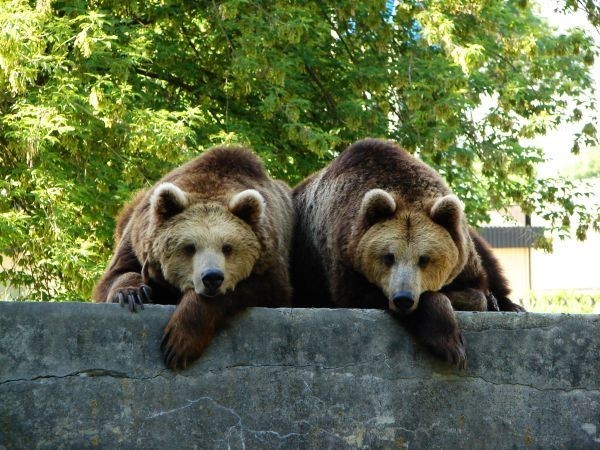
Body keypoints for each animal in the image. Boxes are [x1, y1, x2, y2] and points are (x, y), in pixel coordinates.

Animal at [93, 147, 296, 370]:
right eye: (190, 247)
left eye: (227, 247)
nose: (212, 277)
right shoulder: (137, 240)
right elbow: (116, 274)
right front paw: (132, 294)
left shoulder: (270, 256)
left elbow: (263, 288)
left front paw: (178, 342)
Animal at [292, 139, 524, 368]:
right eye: (388, 256)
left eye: (424, 258)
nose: (403, 298)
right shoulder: (344, 260)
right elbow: (362, 295)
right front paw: (449, 344)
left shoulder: (464, 257)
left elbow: (477, 291)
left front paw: (485, 301)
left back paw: (512, 306)